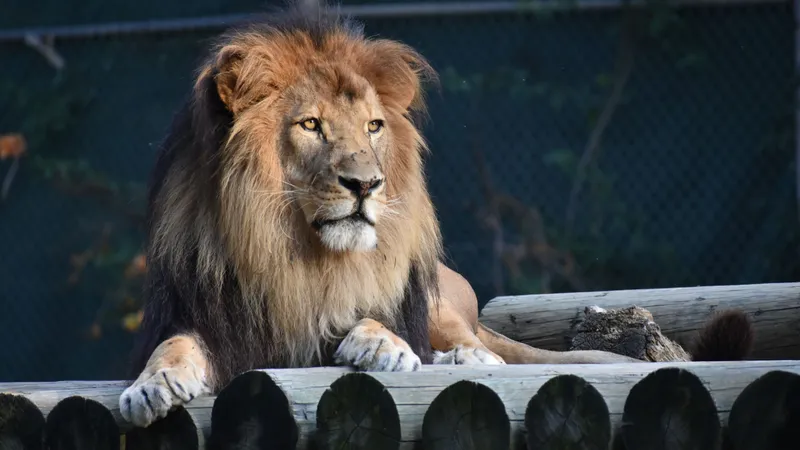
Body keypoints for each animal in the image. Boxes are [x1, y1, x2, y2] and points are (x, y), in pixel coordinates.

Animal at [119, 2, 637, 428]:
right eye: (311, 124)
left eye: (373, 126)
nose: (366, 184)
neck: (294, 257)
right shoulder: (201, 319)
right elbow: (173, 345)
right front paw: (152, 385)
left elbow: (373, 318)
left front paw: (382, 345)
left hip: (440, 302)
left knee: (477, 347)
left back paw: (464, 360)